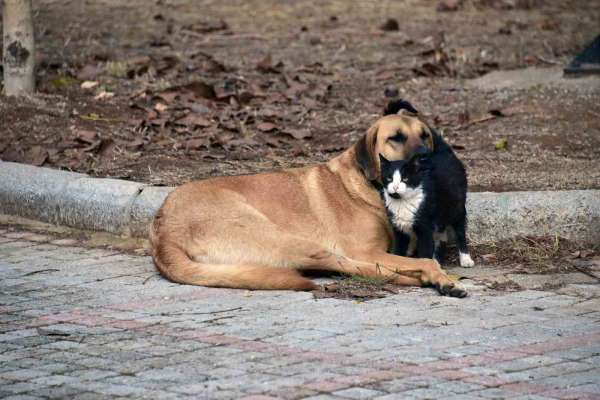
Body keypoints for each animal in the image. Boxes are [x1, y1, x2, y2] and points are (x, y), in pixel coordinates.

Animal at [151, 112, 468, 296]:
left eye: (425, 135)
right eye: (396, 138)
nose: (428, 157)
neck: (367, 183)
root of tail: (163, 231)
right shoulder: (366, 250)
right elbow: (421, 259)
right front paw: (439, 275)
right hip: (299, 243)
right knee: (361, 269)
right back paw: (428, 280)